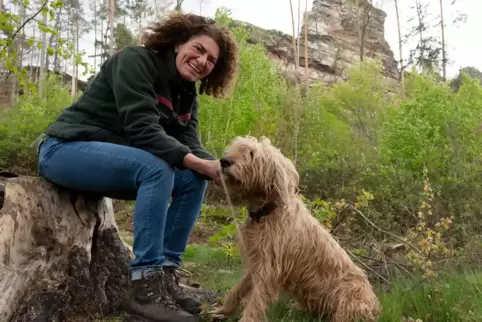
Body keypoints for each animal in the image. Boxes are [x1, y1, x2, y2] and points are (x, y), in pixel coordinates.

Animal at [210, 136, 380, 322]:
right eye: (236, 148)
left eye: (252, 154)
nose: (224, 161)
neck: (266, 213)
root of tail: (375, 307)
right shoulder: (257, 262)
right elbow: (238, 289)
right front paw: (224, 310)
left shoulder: (269, 270)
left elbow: (255, 303)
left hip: (347, 299)